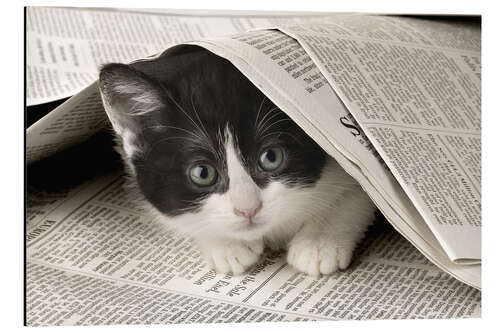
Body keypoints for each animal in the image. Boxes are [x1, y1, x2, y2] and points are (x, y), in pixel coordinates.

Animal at [97, 47, 376, 274]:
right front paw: (227, 245)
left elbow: (358, 193)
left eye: (271, 157)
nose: (248, 209)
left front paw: (317, 243)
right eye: (202, 173)